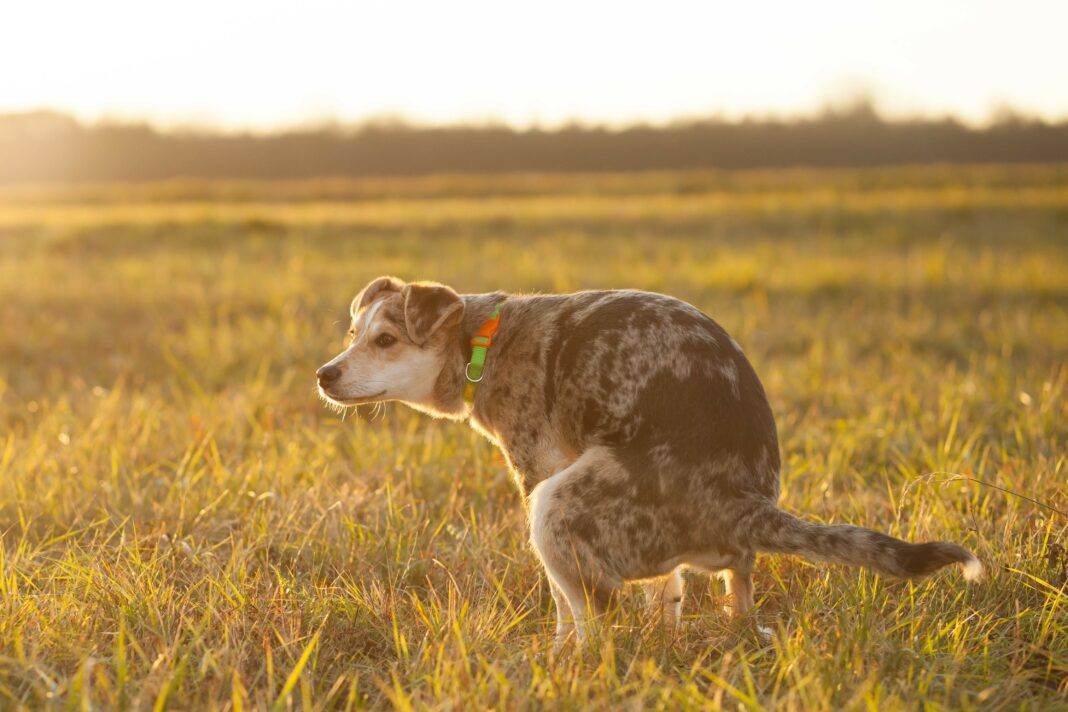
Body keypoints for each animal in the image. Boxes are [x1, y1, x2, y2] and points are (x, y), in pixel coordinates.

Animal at [311, 277, 978, 644]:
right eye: (351, 335)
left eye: (386, 341)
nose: (324, 374)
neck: (482, 341)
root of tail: (745, 503)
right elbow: (669, 591)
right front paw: (667, 630)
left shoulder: (537, 472)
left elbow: (564, 606)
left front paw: (557, 654)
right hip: (711, 555)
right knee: (734, 590)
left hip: (555, 506)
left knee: (597, 619)